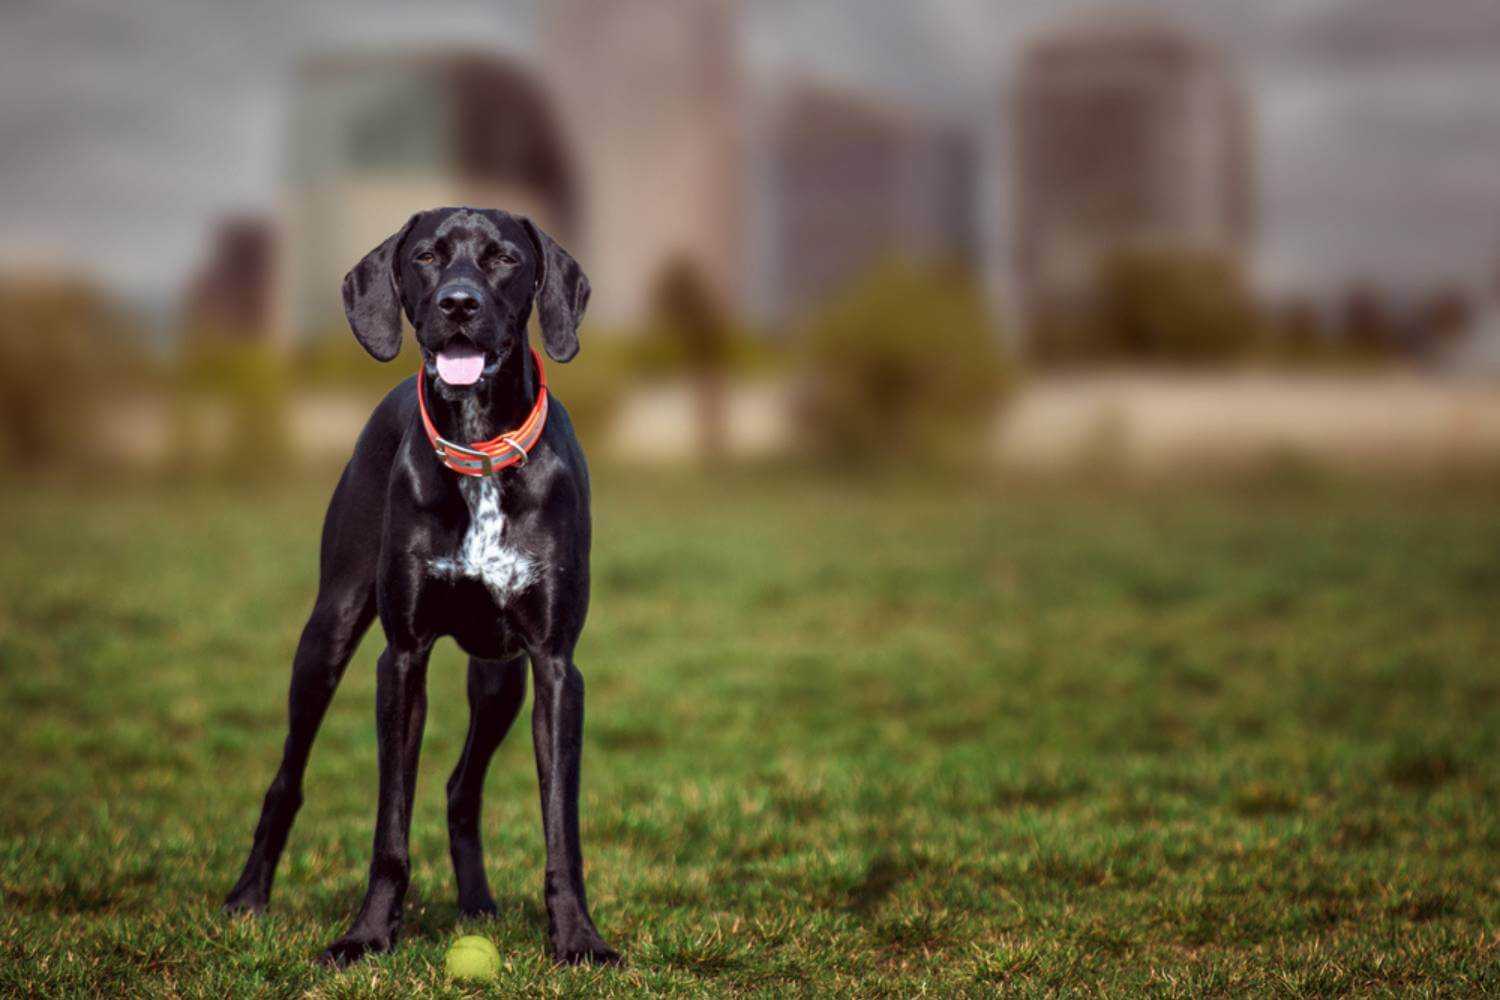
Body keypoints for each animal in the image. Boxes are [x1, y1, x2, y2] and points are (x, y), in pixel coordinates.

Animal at [223, 205, 621, 971]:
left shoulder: (556, 667)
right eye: (427, 257)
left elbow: (562, 827)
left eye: (503, 258)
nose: (458, 305)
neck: (479, 447)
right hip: (327, 632)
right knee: (287, 777)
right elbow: (390, 827)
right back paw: (248, 896)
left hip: (501, 679)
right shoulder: (401, 658)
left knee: (462, 787)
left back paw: (478, 903)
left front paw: (578, 938)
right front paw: (368, 934)